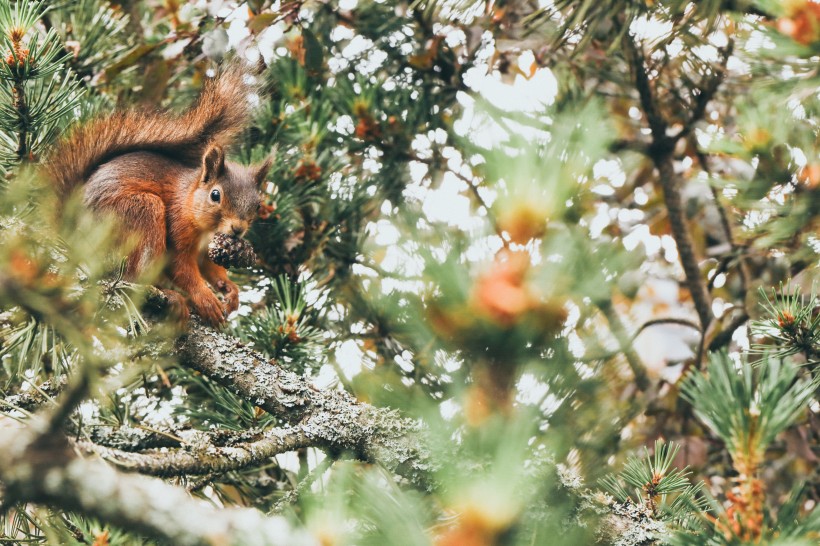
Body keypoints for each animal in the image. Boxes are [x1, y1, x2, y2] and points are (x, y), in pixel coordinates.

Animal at [44, 66, 270, 326]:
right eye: (215, 195)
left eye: (258, 205)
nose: (237, 229)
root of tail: (72, 235)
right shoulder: (177, 227)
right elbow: (182, 268)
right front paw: (205, 299)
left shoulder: (206, 250)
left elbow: (210, 267)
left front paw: (230, 290)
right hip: (139, 212)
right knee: (132, 277)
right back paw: (170, 296)